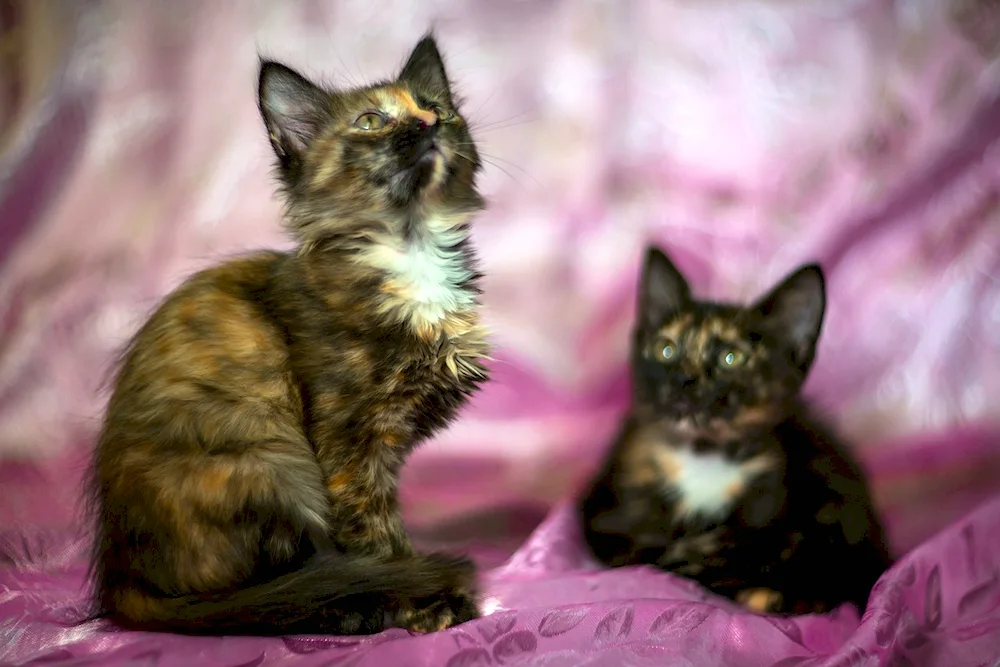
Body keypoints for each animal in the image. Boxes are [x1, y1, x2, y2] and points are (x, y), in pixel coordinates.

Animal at [89, 32, 492, 636]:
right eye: (371, 121)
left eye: (436, 108)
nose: (427, 123)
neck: (410, 250)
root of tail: (121, 579)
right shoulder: (348, 447)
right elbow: (376, 541)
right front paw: (423, 601)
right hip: (271, 465)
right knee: (268, 594)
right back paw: (351, 609)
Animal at [584, 247, 896, 616]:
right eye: (666, 350)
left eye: (731, 358)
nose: (683, 380)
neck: (704, 456)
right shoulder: (608, 509)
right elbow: (642, 546)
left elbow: (756, 546)